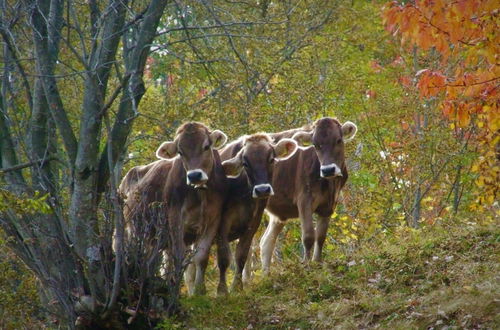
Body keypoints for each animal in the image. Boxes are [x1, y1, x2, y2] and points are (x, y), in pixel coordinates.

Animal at [156, 122, 229, 296]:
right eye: (180, 152)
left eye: (206, 146)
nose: (195, 175)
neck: (199, 193)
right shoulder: (175, 217)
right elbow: (179, 255)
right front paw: (175, 290)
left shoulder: (214, 218)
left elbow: (201, 256)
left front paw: (199, 289)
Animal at [216, 133, 296, 292]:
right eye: (245, 163)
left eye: (271, 159)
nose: (262, 190)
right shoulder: (221, 223)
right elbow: (223, 258)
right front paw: (222, 291)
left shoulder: (253, 222)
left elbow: (242, 255)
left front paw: (237, 287)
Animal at [260, 117, 358, 272]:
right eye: (315, 145)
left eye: (338, 140)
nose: (328, 169)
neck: (329, 184)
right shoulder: (304, 199)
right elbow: (308, 235)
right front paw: (306, 265)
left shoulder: (329, 205)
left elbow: (321, 236)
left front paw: (317, 262)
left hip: (278, 214)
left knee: (266, 241)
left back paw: (265, 274)